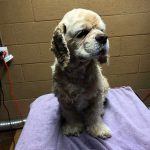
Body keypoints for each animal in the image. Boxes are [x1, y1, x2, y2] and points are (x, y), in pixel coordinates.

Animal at [50, 8, 111, 139]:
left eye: (102, 30)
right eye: (82, 33)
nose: (104, 37)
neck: (78, 71)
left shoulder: (96, 97)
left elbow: (94, 114)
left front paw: (98, 129)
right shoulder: (65, 99)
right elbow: (71, 115)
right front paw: (73, 128)